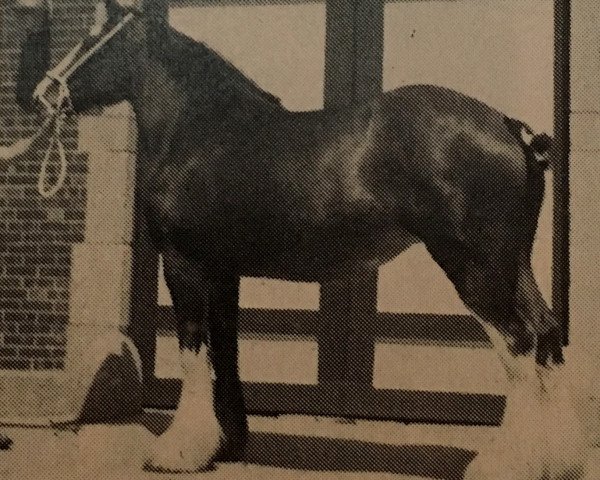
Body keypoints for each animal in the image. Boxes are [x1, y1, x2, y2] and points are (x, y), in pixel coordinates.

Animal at [15, 1, 584, 478]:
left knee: (519, 345)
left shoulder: (184, 264)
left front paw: (178, 451)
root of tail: (510, 127)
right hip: (512, 265)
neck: (200, 130)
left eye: (93, 35)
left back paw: (505, 463)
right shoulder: (223, 271)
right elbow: (225, 352)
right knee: (546, 336)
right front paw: (226, 443)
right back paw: (556, 461)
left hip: (476, 268)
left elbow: (194, 350)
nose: (42, 95)